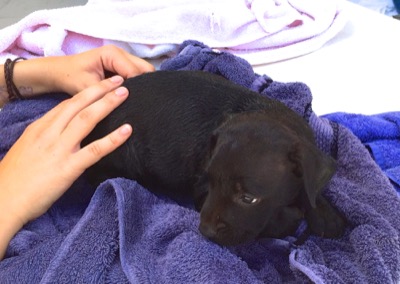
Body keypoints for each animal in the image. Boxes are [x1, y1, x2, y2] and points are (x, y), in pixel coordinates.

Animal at [83, 70, 346, 245]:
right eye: (210, 182)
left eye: (248, 198)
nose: (205, 231)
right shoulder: (201, 192)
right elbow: (273, 223)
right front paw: (295, 216)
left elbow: (310, 187)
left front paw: (325, 215)